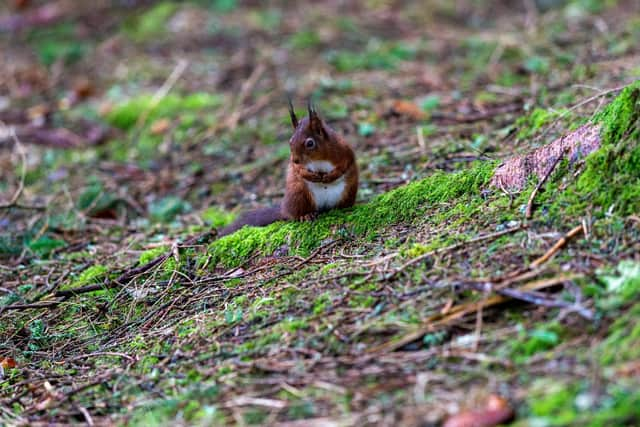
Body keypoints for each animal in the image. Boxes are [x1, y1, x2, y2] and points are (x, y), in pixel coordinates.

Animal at [219, 98, 360, 236]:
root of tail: (284, 208)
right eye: (290, 141)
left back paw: (343, 208)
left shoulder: (344, 149)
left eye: (310, 143)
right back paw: (306, 215)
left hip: (348, 191)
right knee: (295, 214)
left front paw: (331, 176)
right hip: (298, 194)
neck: (319, 158)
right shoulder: (296, 166)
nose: (295, 159)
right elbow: (298, 170)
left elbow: (345, 164)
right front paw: (310, 175)